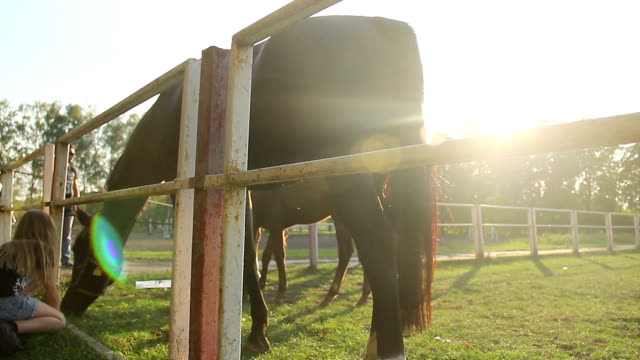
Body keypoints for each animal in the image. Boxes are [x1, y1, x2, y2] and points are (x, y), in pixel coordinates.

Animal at [62, 15, 438, 358]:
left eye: (83, 254)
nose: (67, 306)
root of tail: (383, 27)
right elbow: (251, 253)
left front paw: (252, 329)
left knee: (378, 245)